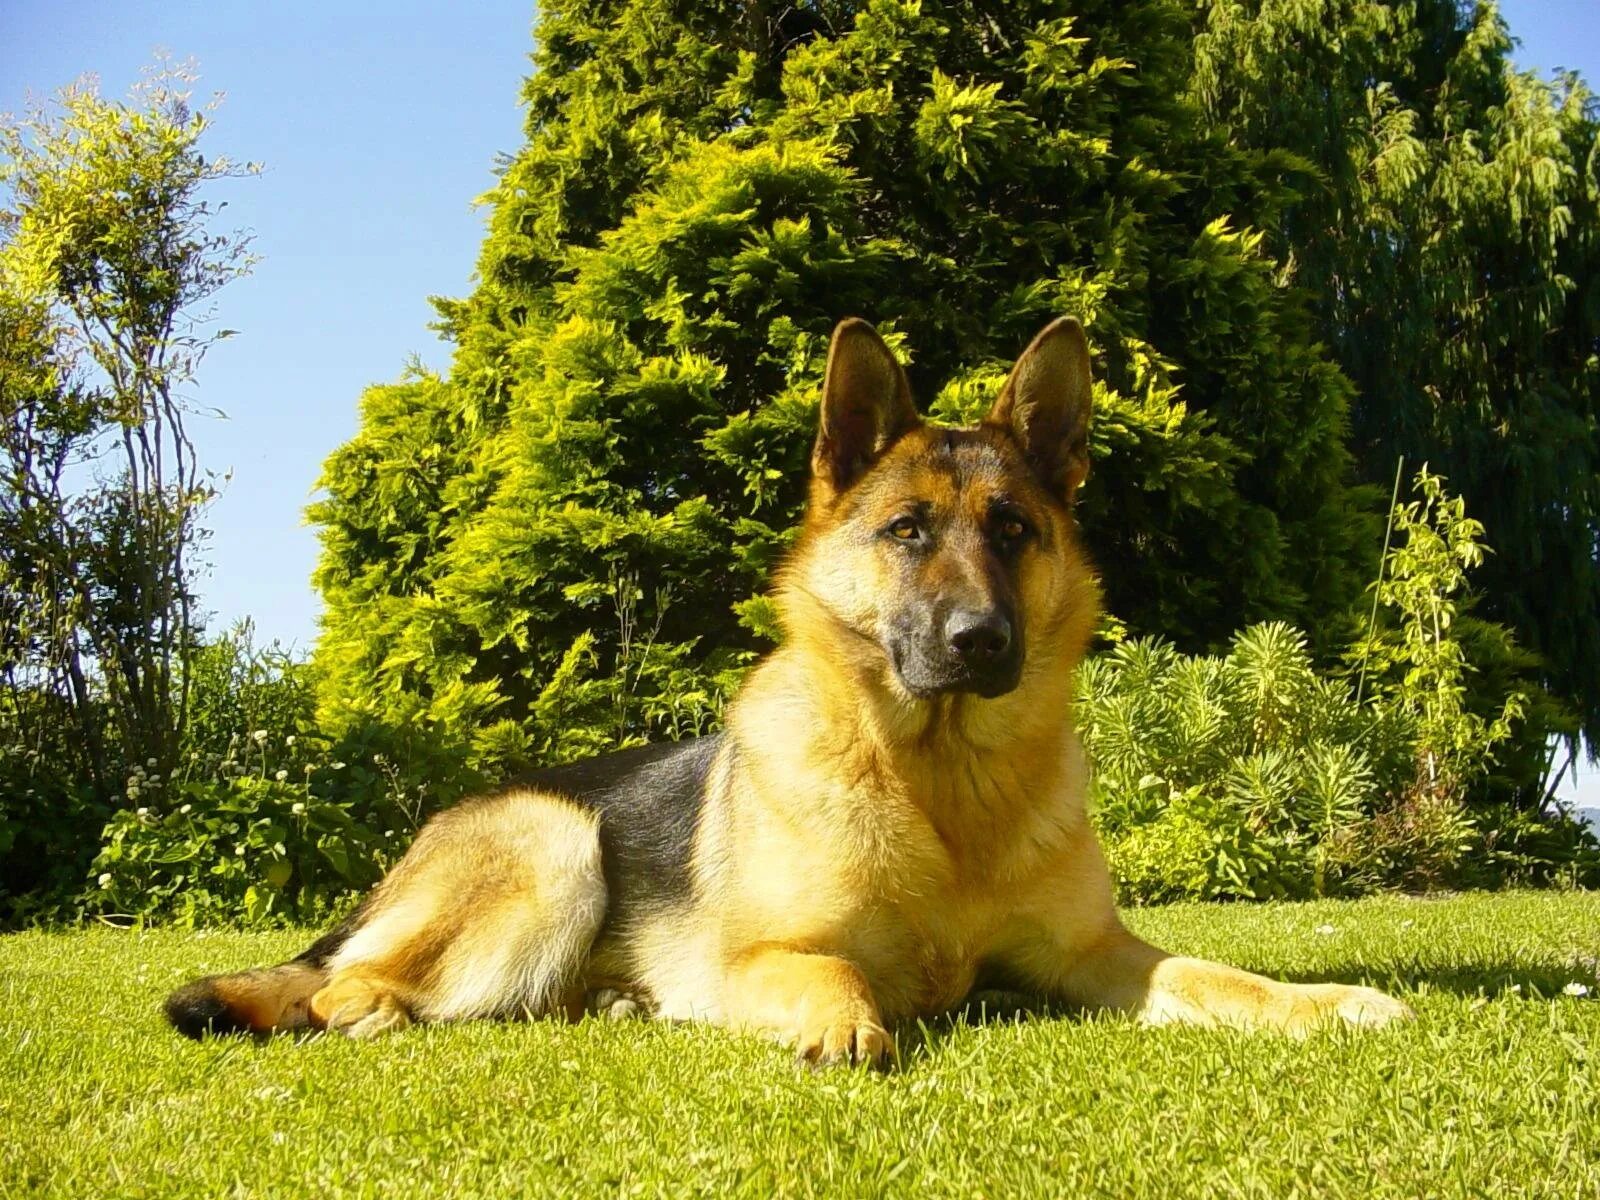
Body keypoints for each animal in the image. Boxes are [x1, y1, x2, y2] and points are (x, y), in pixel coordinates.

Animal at [168, 316, 1408, 1062]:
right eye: (907, 532)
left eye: (1013, 531)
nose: (979, 642)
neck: (939, 786)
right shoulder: (768, 954)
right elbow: (831, 975)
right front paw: (844, 1022)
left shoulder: (1100, 957)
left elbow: (1222, 973)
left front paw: (1329, 1004)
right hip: (553, 845)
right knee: (339, 990)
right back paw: (379, 1009)